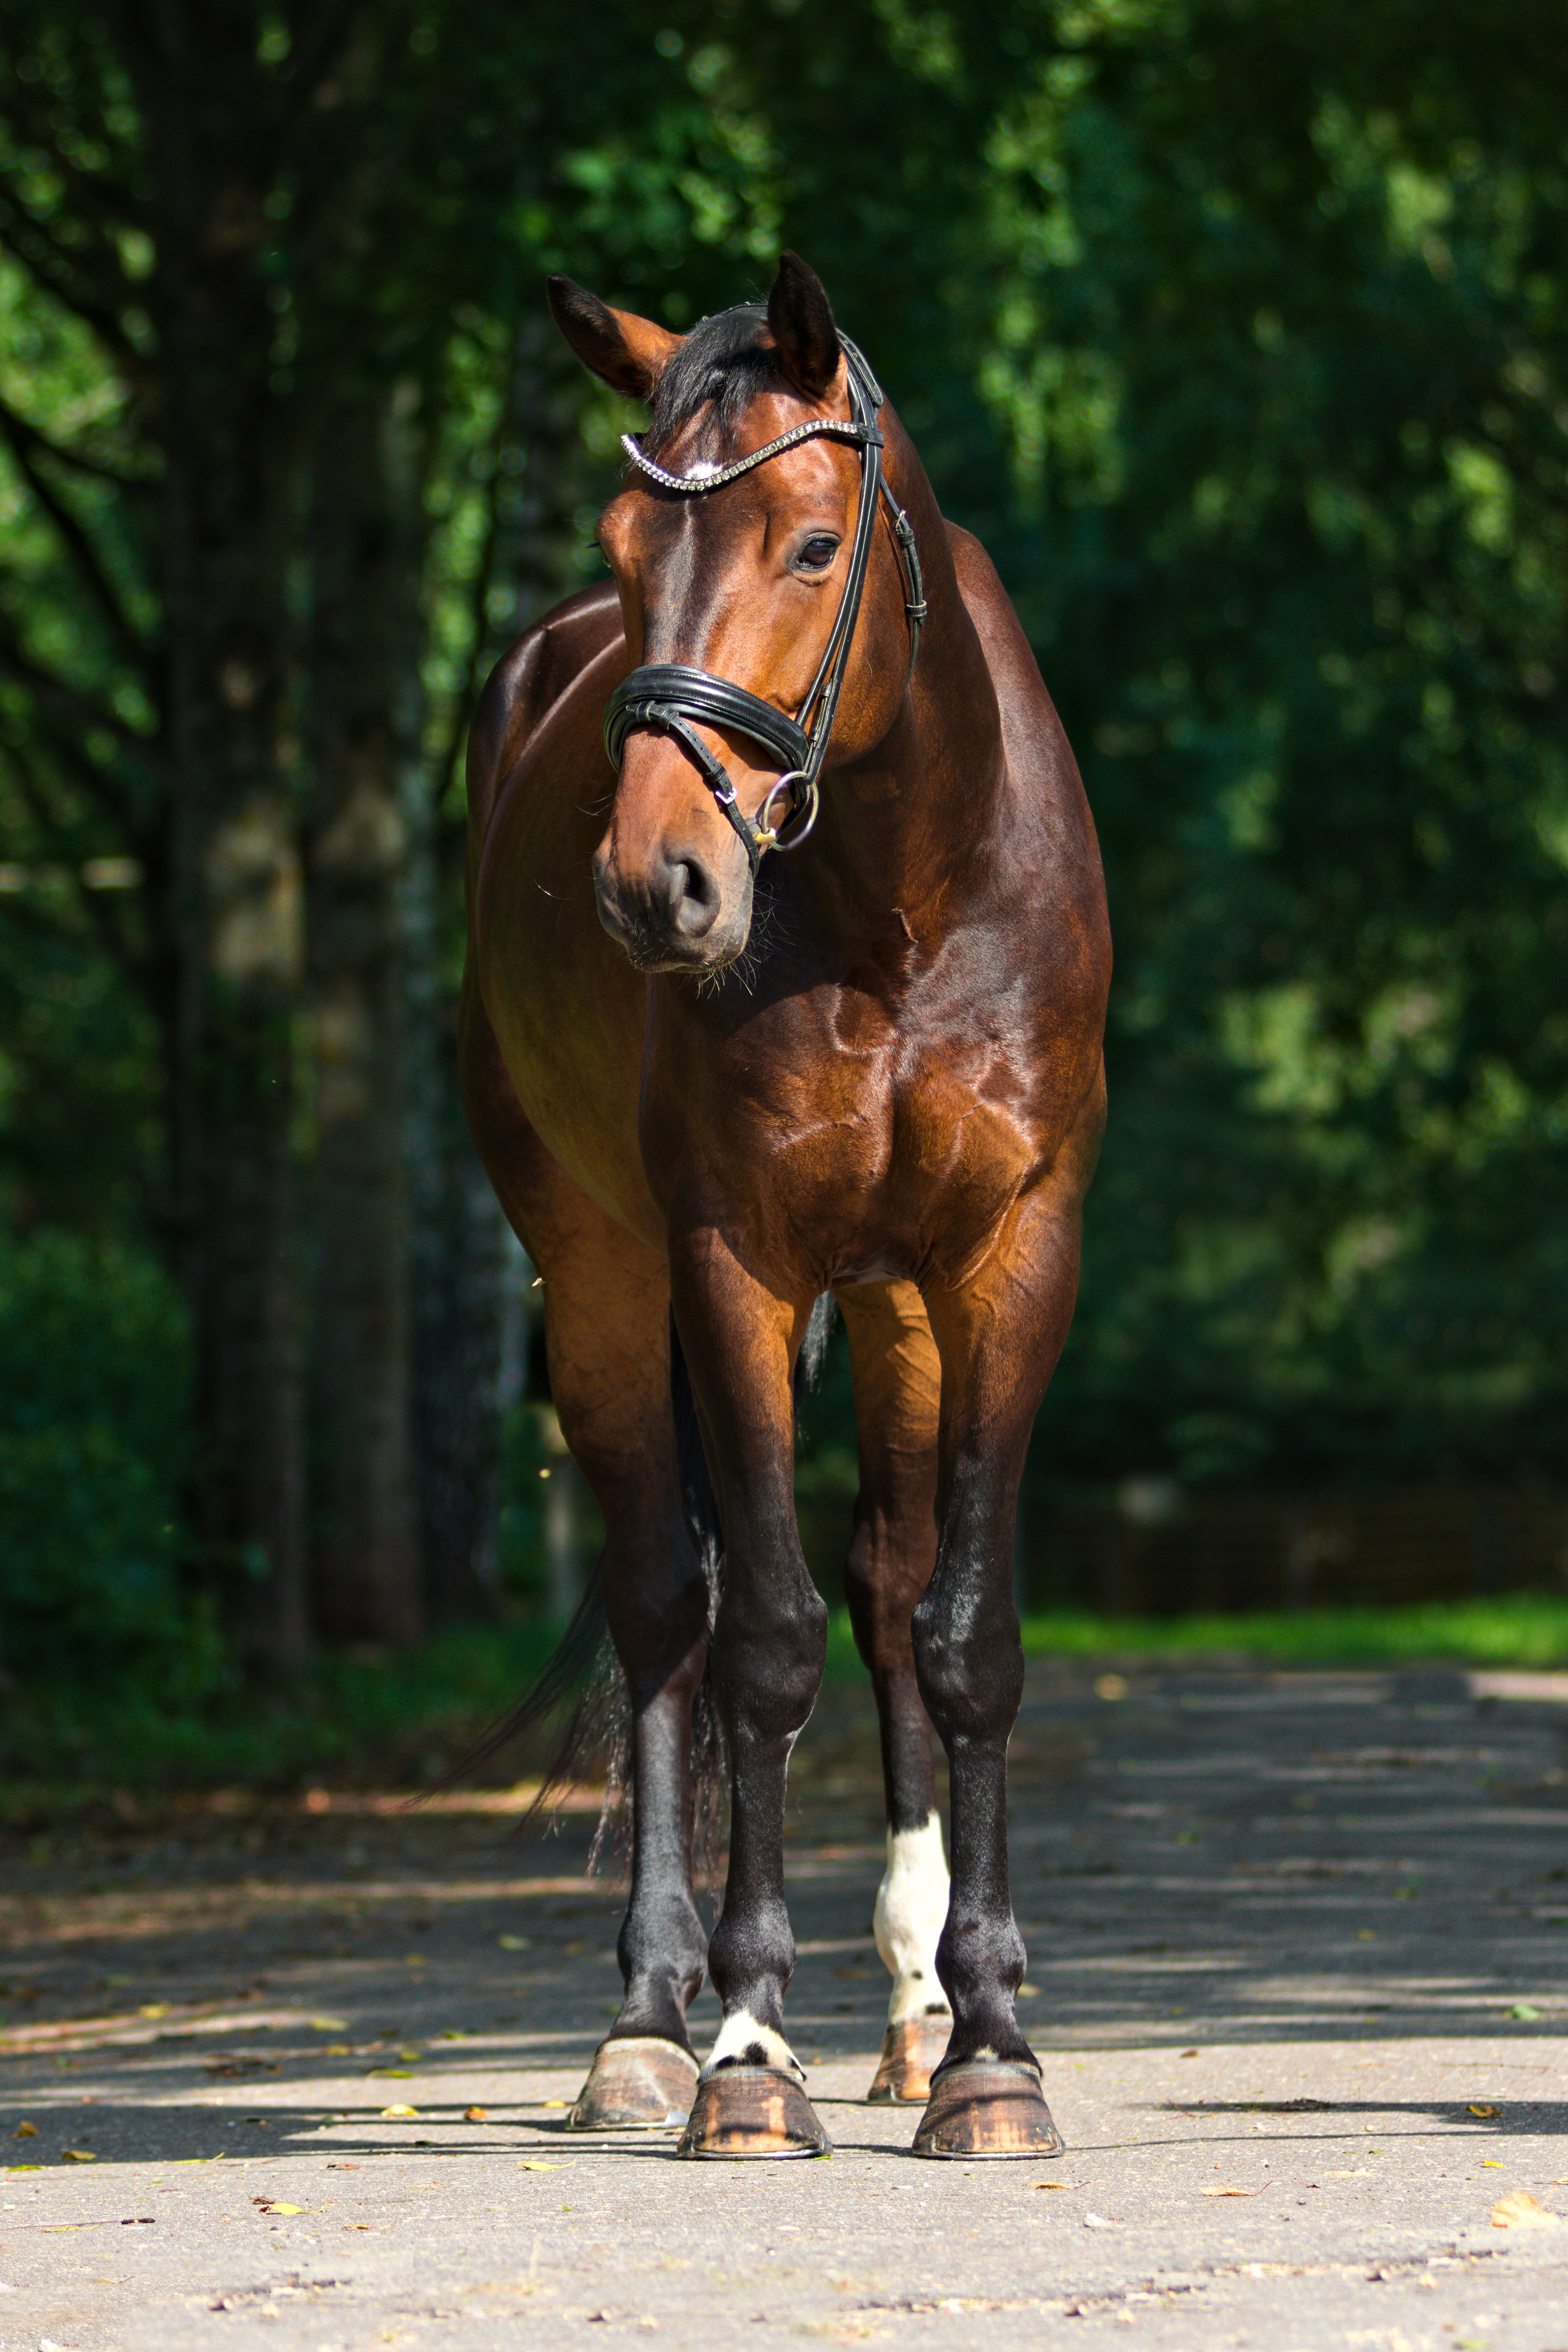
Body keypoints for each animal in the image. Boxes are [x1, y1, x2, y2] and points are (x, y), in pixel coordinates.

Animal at [460, 252, 1110, 2160]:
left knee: (891, 1586)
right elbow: (753, 1635)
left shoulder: (1008, 1257)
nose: (654, 883)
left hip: (894, 1301)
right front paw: (749, 2044)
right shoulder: (725, 1260)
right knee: (659, 1599)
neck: (903, 901)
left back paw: (908, 2010)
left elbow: (961, 1633)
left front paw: (989, 2042)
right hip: (598, 1272)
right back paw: (651, 2019)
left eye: (813, 545)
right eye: (623, 546)